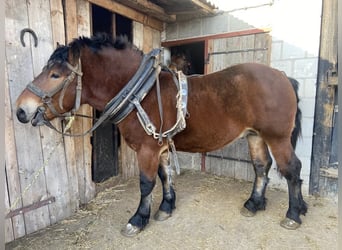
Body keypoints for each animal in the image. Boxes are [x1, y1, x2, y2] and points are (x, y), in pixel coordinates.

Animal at [16, 34, 308, 236]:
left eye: (55, 74)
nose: (21, 110)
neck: (139, 94)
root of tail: (283, 75)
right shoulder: (162, 146)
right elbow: (165, 176)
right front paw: (166, 208)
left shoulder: (147, 149)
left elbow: (146, 184)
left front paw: (137, 220)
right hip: (255, 135)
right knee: (262, 167)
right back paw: (254, 203)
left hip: (277, 138)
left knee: (292, 169)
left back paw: (293, 213)